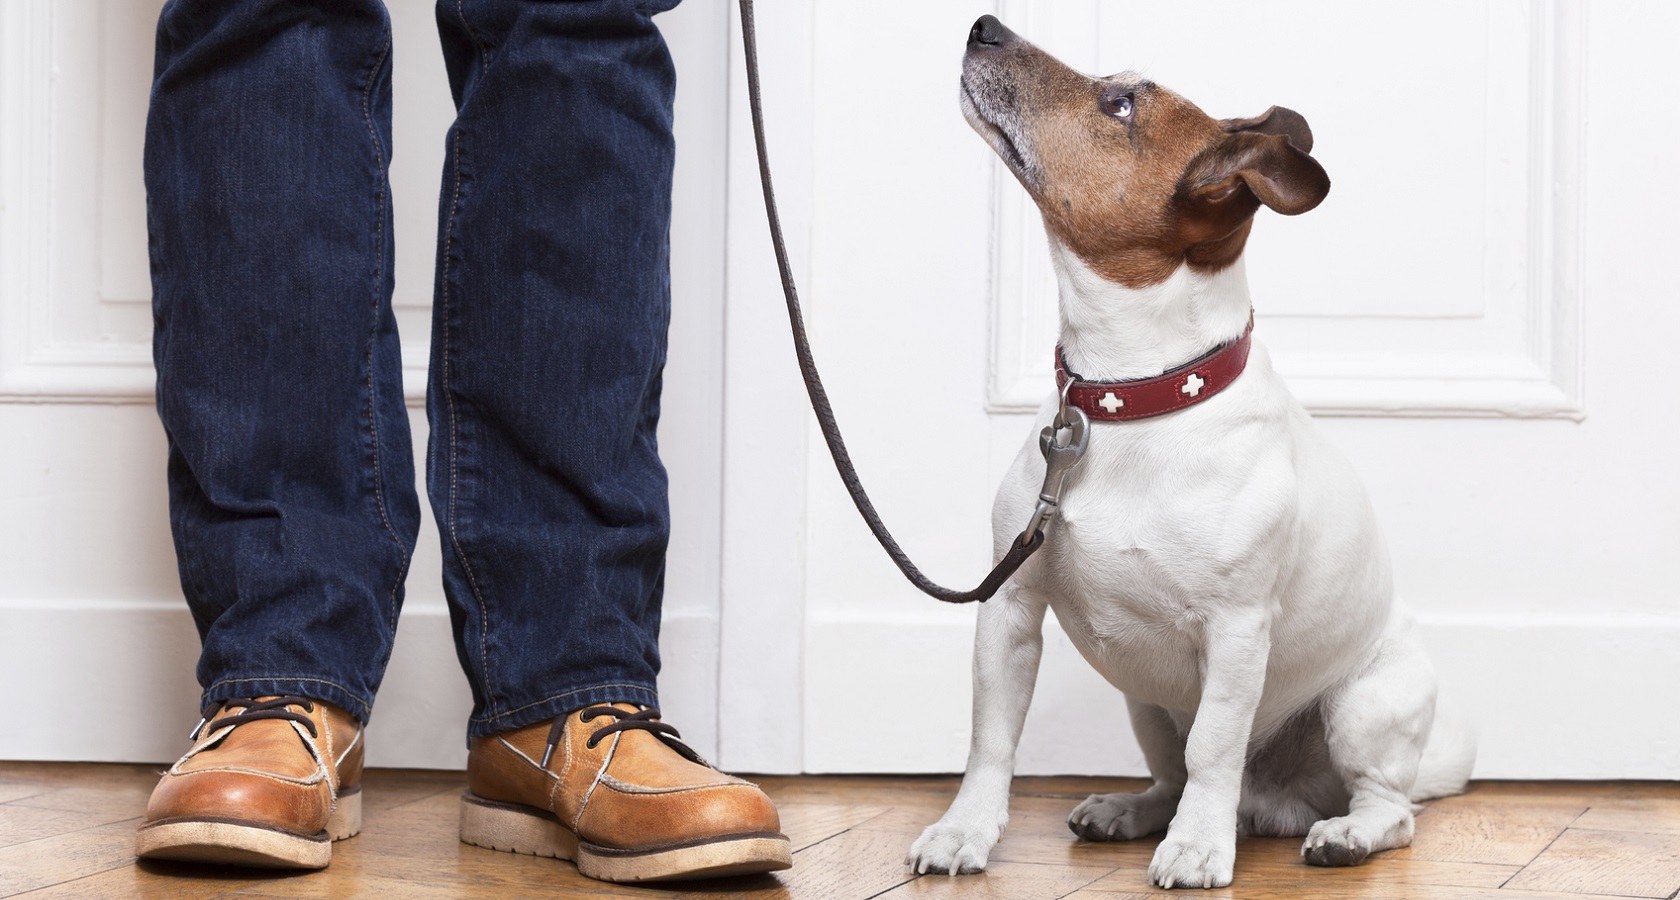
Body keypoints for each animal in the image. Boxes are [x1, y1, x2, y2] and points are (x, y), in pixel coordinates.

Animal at [913, 17, 1478, 886]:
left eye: (1119, 105)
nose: (985, 26)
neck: (1132, 399)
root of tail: (1279, 802)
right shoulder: (1009, 610)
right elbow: (991, 739)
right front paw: (963, 831)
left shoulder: (1238, 632)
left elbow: (1216, 746)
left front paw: (1199, 847)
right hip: (1146, 704)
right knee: (1171, 772)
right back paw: (1134, 810)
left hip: (1362, 709)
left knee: (1386, 807)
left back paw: (1336, 832)